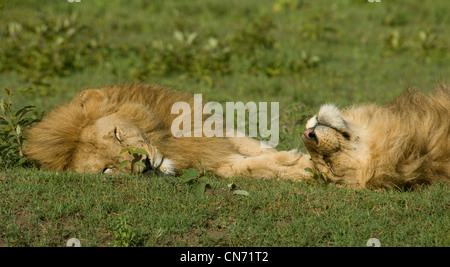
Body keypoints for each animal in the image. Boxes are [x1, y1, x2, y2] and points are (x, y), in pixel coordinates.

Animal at [24, 84, 312, 180]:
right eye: (107, 169)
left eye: (117, 134)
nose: (144, 163)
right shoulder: (211, 161)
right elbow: (244, 167)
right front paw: (301, 168)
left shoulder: (210, 131)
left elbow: (256, 148)